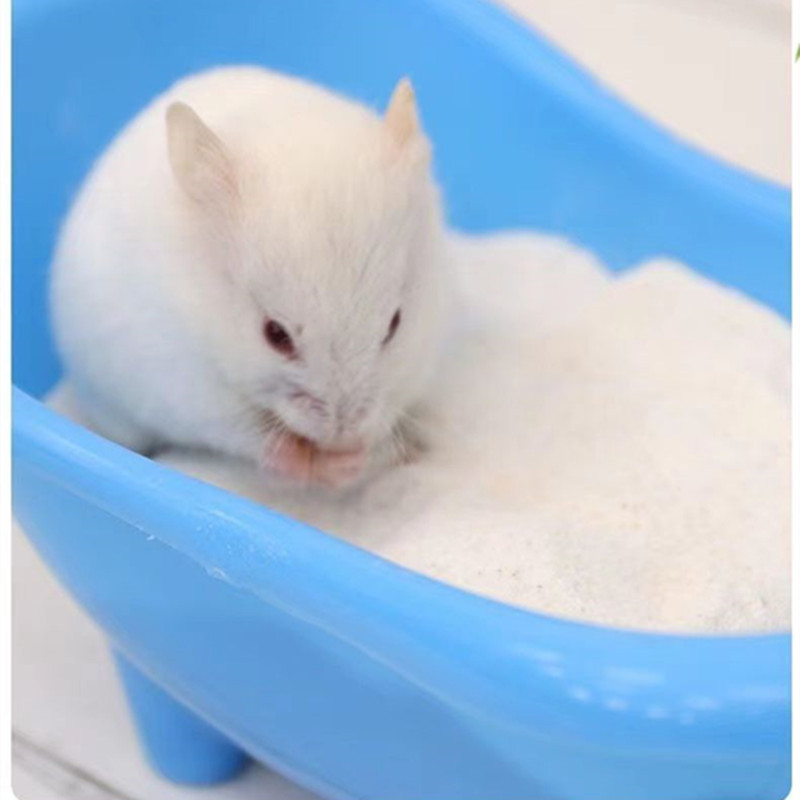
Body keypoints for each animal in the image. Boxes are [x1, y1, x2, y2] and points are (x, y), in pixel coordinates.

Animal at [50, 67, 450, 489]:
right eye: (275, 335)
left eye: (395, 324)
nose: (342, 434)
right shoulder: (194, 392)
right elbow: (265, 442)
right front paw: (328, 464)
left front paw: (352, 459)